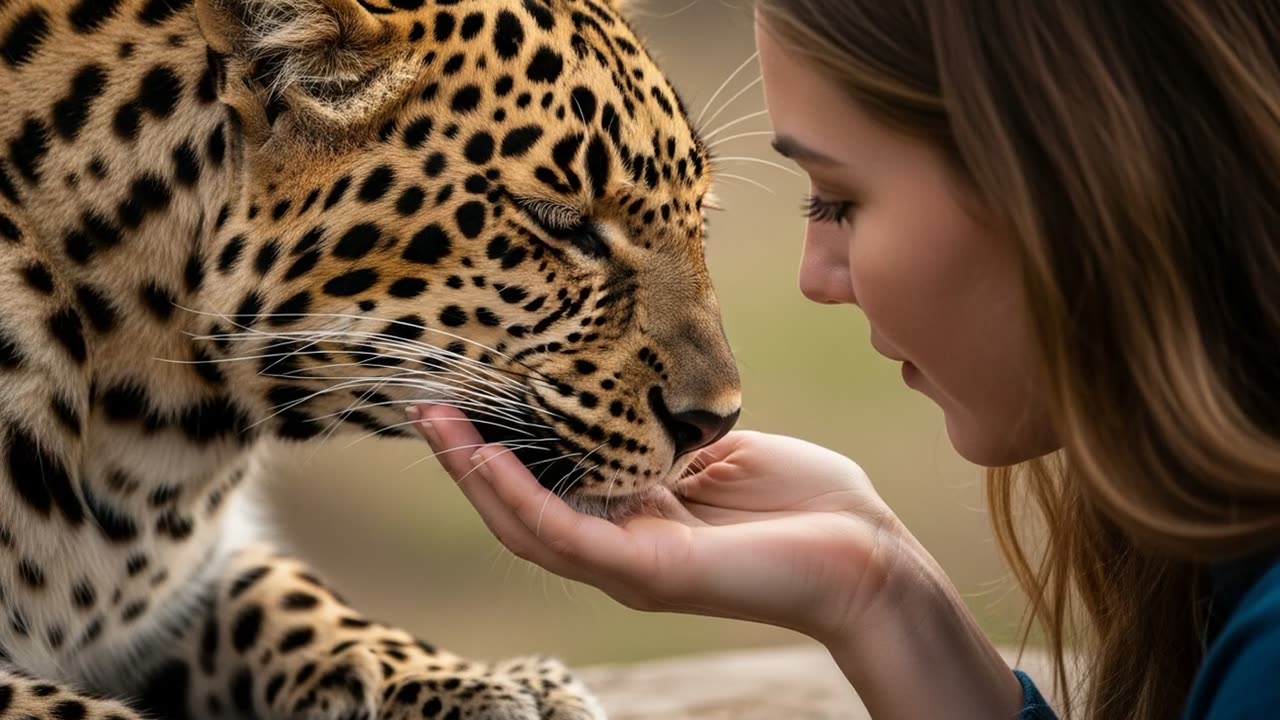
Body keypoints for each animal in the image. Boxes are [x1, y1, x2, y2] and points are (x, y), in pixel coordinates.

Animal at [0, 0, 742, 717]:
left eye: (702, 213)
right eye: (560, 223)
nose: (715, 423)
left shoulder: (190, 577)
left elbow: (295, 591)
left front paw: (485, 681)